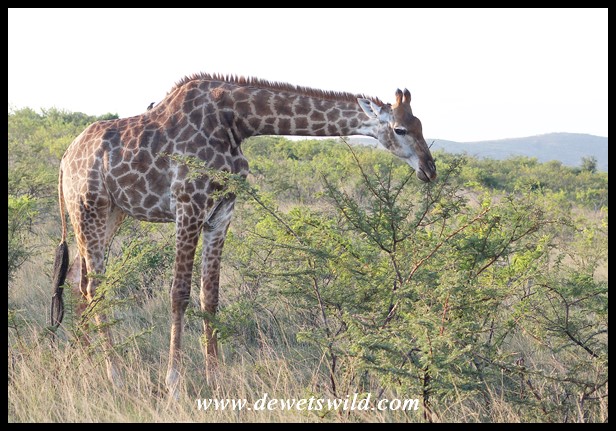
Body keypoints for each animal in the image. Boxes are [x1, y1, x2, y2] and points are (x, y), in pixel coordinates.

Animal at [50, 73, 437, 397]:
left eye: (419, 125)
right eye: (400, 129)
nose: (430, 170)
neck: (237, 122)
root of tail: (65, 158)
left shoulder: (222, 212)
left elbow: (210, 296)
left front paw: (215, 378)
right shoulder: (189, 205)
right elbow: (178, 294)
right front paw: (174, 383)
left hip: (111, 213)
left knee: (78, 278)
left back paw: (83, 363)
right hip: (89, 207)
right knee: (94, 284)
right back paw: (113, 374)